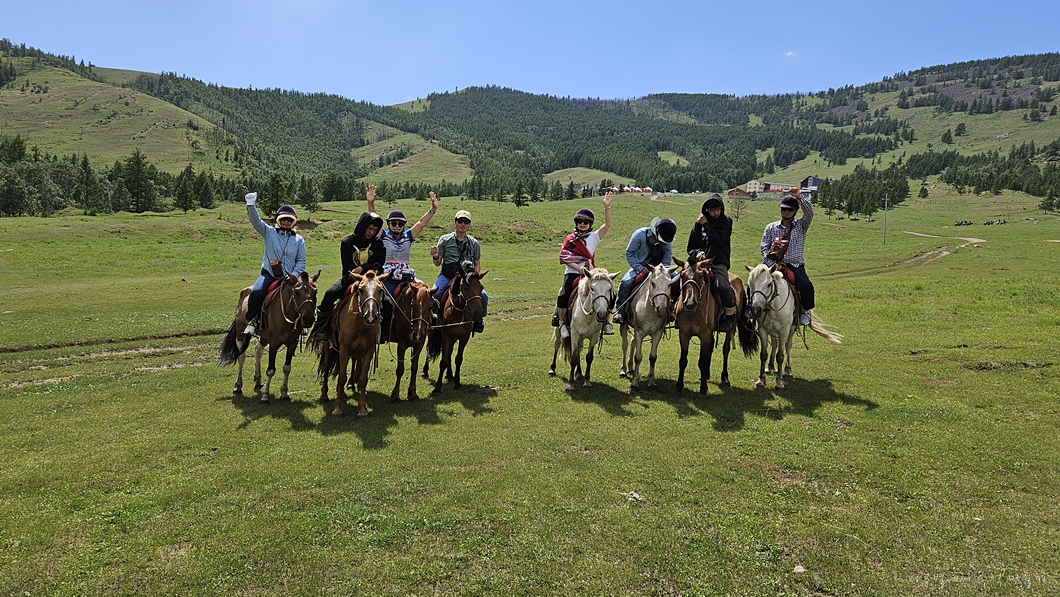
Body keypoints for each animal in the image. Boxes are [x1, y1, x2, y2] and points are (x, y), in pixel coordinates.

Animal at [217, 270, 320, 403]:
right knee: (241, 357)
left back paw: (258, 380)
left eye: (315, 291)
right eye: (297, 292)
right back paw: (238, 386)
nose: (308, 318)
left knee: (258, 350)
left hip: (264, 336)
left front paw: (284, 393)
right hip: (240, 333)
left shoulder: (292, 343)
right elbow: (270, 370)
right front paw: (265, 396)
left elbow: (287, 368)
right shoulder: (274, 343)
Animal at [315, 270, 387, 417]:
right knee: (326, 367)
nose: (370, 317)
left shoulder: (368, 350)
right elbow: (341, 377)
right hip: (328, 348)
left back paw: (342, 392)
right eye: (360, 289)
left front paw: (362, 410)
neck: (359, 324)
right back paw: (324, 395)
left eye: (380, 290)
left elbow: (363, 379)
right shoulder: (344, 349)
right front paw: (337, 409)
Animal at [619, 262, 678, 391]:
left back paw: (630, 368)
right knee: (625, 345)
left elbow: (652, 357)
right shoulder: (639, 332)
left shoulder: (657, 333)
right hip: (624, 325)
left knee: (632, 343)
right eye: (653, 283)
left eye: (670, 284)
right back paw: (623, 370)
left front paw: (652, 382)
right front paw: (634, 383)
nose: (661, 309)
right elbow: (638, 357)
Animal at [673, 258, 752, 396]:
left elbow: (702, 361)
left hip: (731, 329)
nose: (689, 303)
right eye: (682, 275)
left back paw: (724, 377)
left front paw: (703, 389)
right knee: (710, 347)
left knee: (725, 349)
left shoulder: (704, 334)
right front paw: (679, 386)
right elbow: (683, 360)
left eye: (700, 275)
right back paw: (706, 375)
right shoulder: (684, 334)